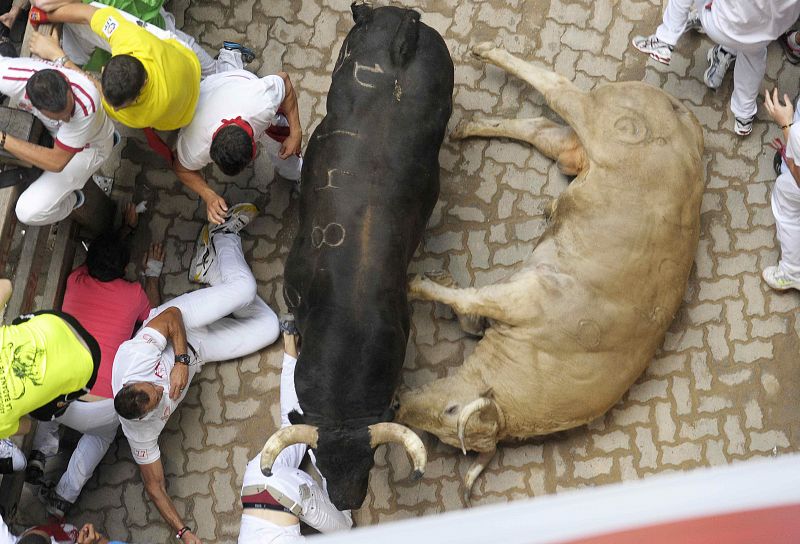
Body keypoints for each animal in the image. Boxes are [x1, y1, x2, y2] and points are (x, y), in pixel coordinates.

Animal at [396, 42, 704, 502]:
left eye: (449, 420)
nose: (398, 404)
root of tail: (687, 120)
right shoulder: (523, 297)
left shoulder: (520, 298)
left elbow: (467, 302)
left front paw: (418, 284)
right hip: (596, 128)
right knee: (558, 95)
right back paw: (482, 60)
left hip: (584, 142)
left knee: (548, 115)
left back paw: (470, 121)